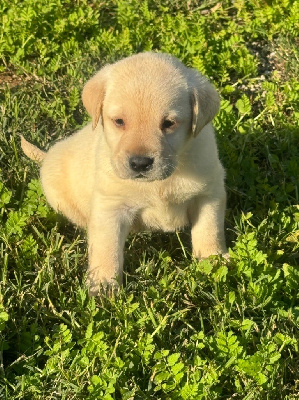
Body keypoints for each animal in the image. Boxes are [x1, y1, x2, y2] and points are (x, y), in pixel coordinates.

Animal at [21, 52, 227, 294]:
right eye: (119, 121)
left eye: (168, 123)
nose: (140, 163)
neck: (160, 183)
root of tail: (48, 156)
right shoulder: (110, 207)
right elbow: (106, 247)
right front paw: (102, 285)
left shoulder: (209, 192)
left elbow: (209, 229)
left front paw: (214, 262)